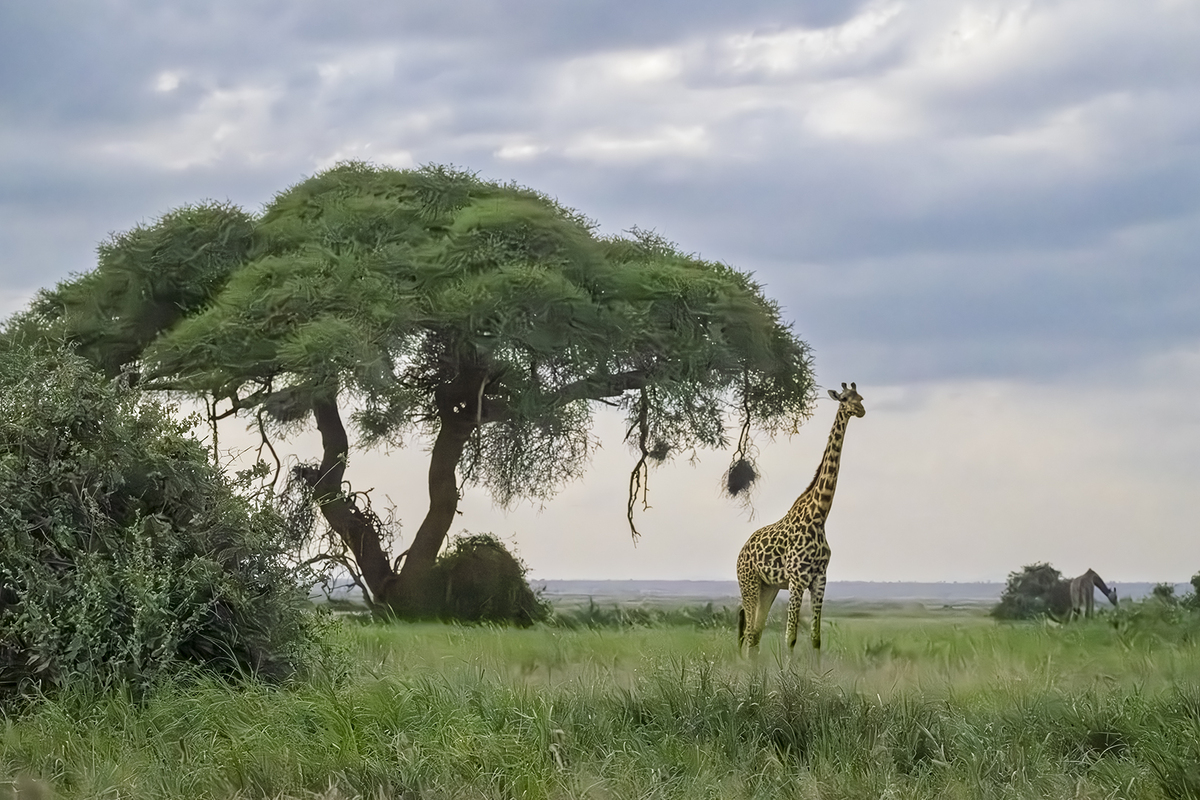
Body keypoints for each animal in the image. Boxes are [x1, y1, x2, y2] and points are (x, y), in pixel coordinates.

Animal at [737, 382, 865, 659]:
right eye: (845, 398)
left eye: (860, 397)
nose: (860, 410)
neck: (819, 515)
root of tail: (741, 551)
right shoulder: (797, 579)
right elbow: (791, 637)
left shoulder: (819, 578)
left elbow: (816, 638)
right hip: (749, 584)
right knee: (749, 633)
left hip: (768, 588)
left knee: (755, 635)